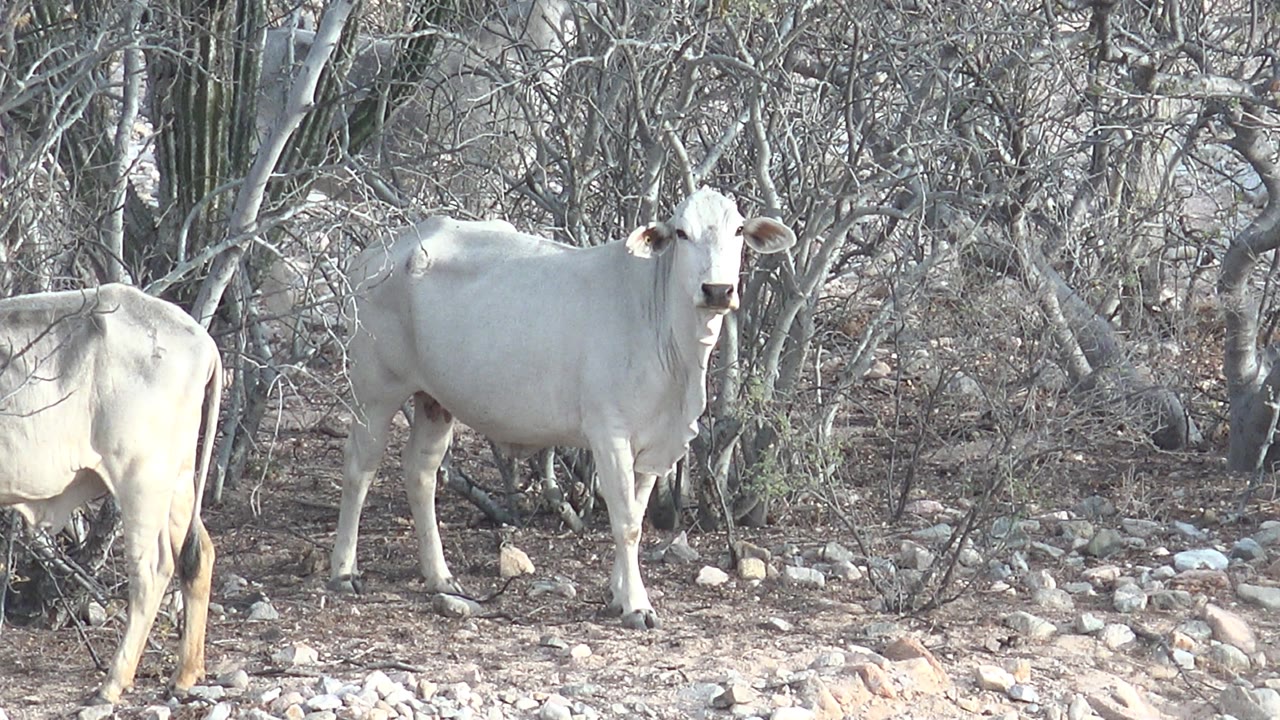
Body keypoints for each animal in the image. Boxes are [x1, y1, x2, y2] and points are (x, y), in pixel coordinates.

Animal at [0, 283, 220, 703]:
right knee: (197, 557)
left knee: (151, 571)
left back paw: (112, 683)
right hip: (178, 478)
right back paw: (185, 673)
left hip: (141, 478)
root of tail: (203, 340)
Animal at [330, 188, 795, 629]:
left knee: (421, 472)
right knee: (359, 467)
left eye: (738, 231)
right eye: (682, 233)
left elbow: (636, 513)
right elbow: (626, 521)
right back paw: (344, 572)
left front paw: (617, 594)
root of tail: (382, 249)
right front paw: (637, 605)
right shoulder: (609, 433)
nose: (717, 290)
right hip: (375, 387)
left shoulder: (652, 443)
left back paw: (440, 576)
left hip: (435, 399)